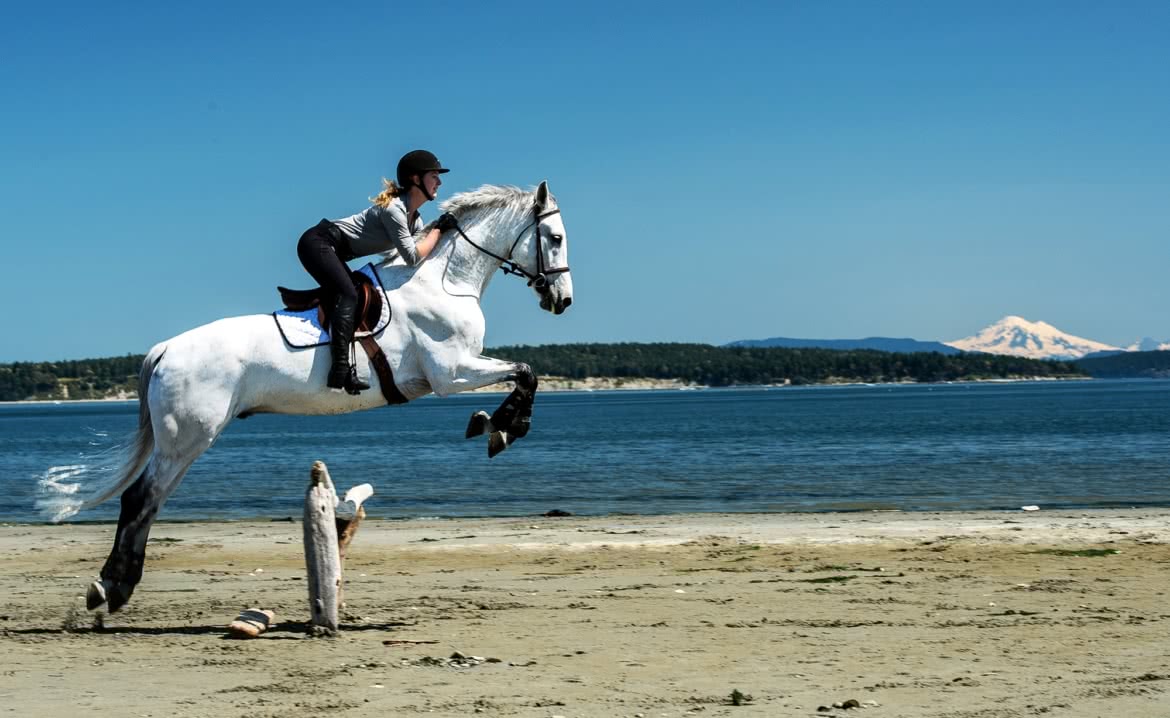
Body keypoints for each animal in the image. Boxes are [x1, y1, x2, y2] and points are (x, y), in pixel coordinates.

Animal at [43, 180, 573, 612]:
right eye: (556, 238)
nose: (562, 301)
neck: (443, 282)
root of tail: (164, 349)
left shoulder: (457, 371)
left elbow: (524, 374)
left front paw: (492, 423)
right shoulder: (452, 372)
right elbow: (526, 373)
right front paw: (503, 427)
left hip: (188, 439)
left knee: (150, 502)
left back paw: (113, 588)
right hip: (188, 437)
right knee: (140, 498)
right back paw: (112, 588)